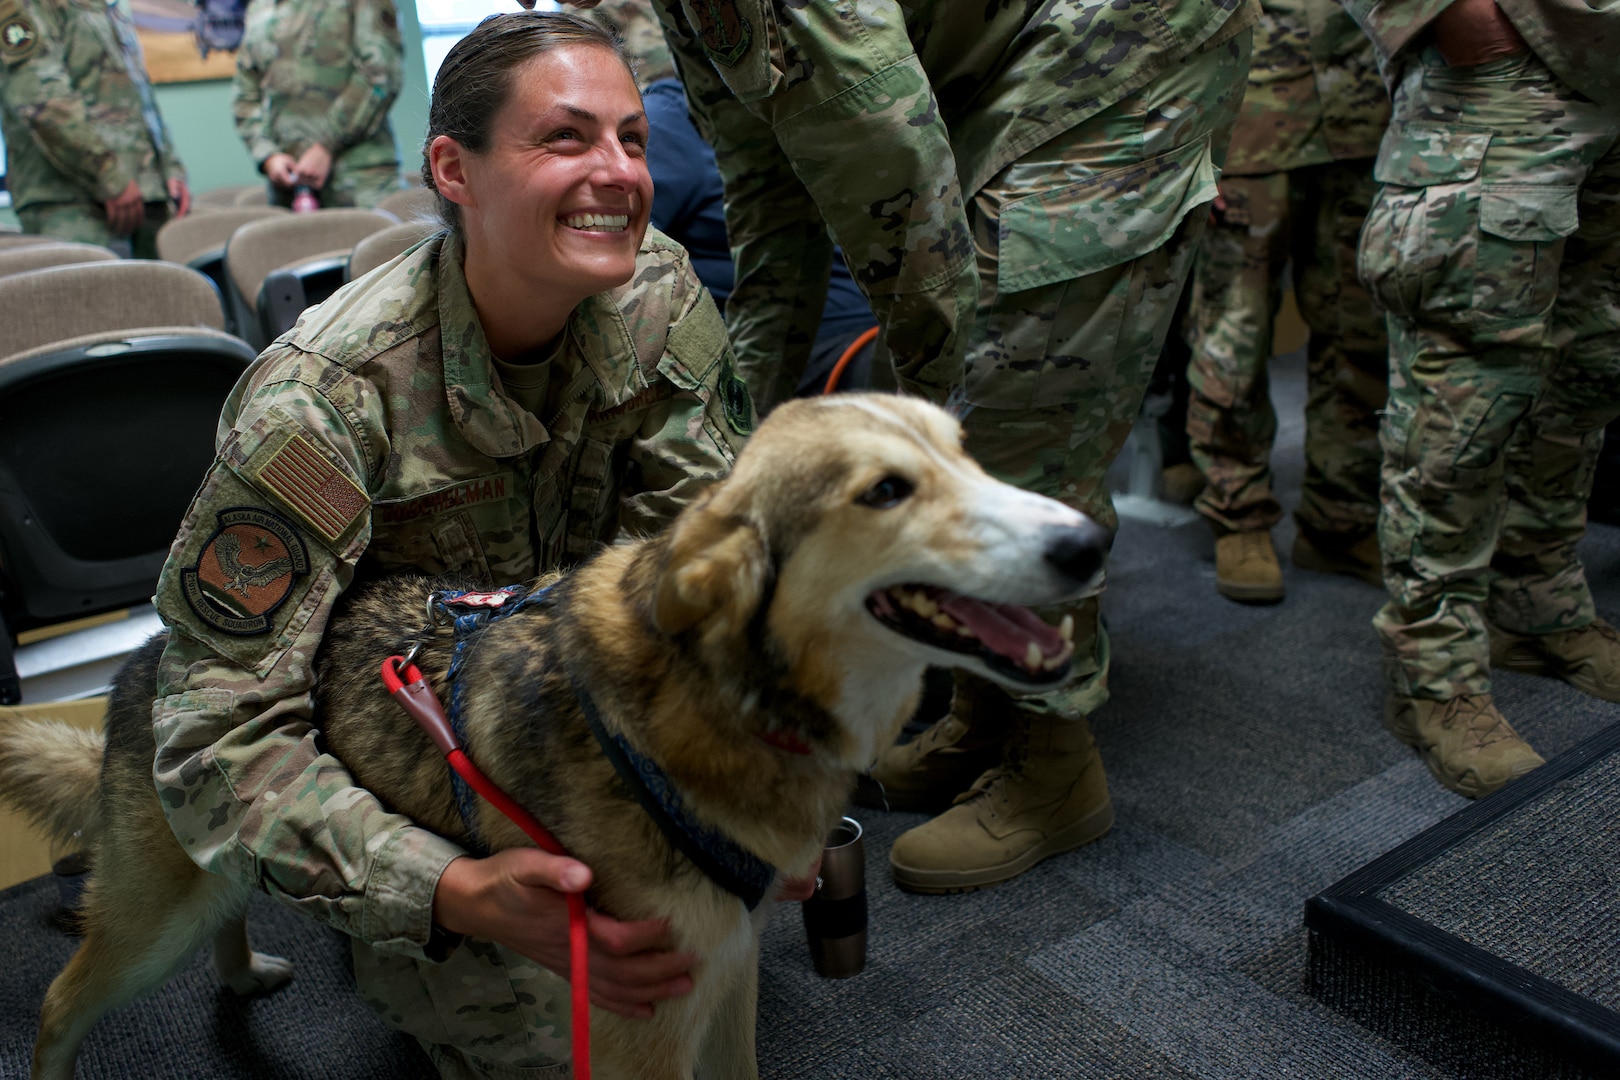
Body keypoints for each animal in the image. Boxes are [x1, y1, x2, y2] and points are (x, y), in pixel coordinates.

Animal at [0, 396, 1114, 1080]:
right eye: (886, 491)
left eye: (966, 455)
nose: (1092, 541)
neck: (724, 705)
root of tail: (156, 655)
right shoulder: (640, 1020)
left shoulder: (728, 972)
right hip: (153, 919)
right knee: (59, 1000)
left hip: (209, 877)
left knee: (232, 901)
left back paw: (241, 974)